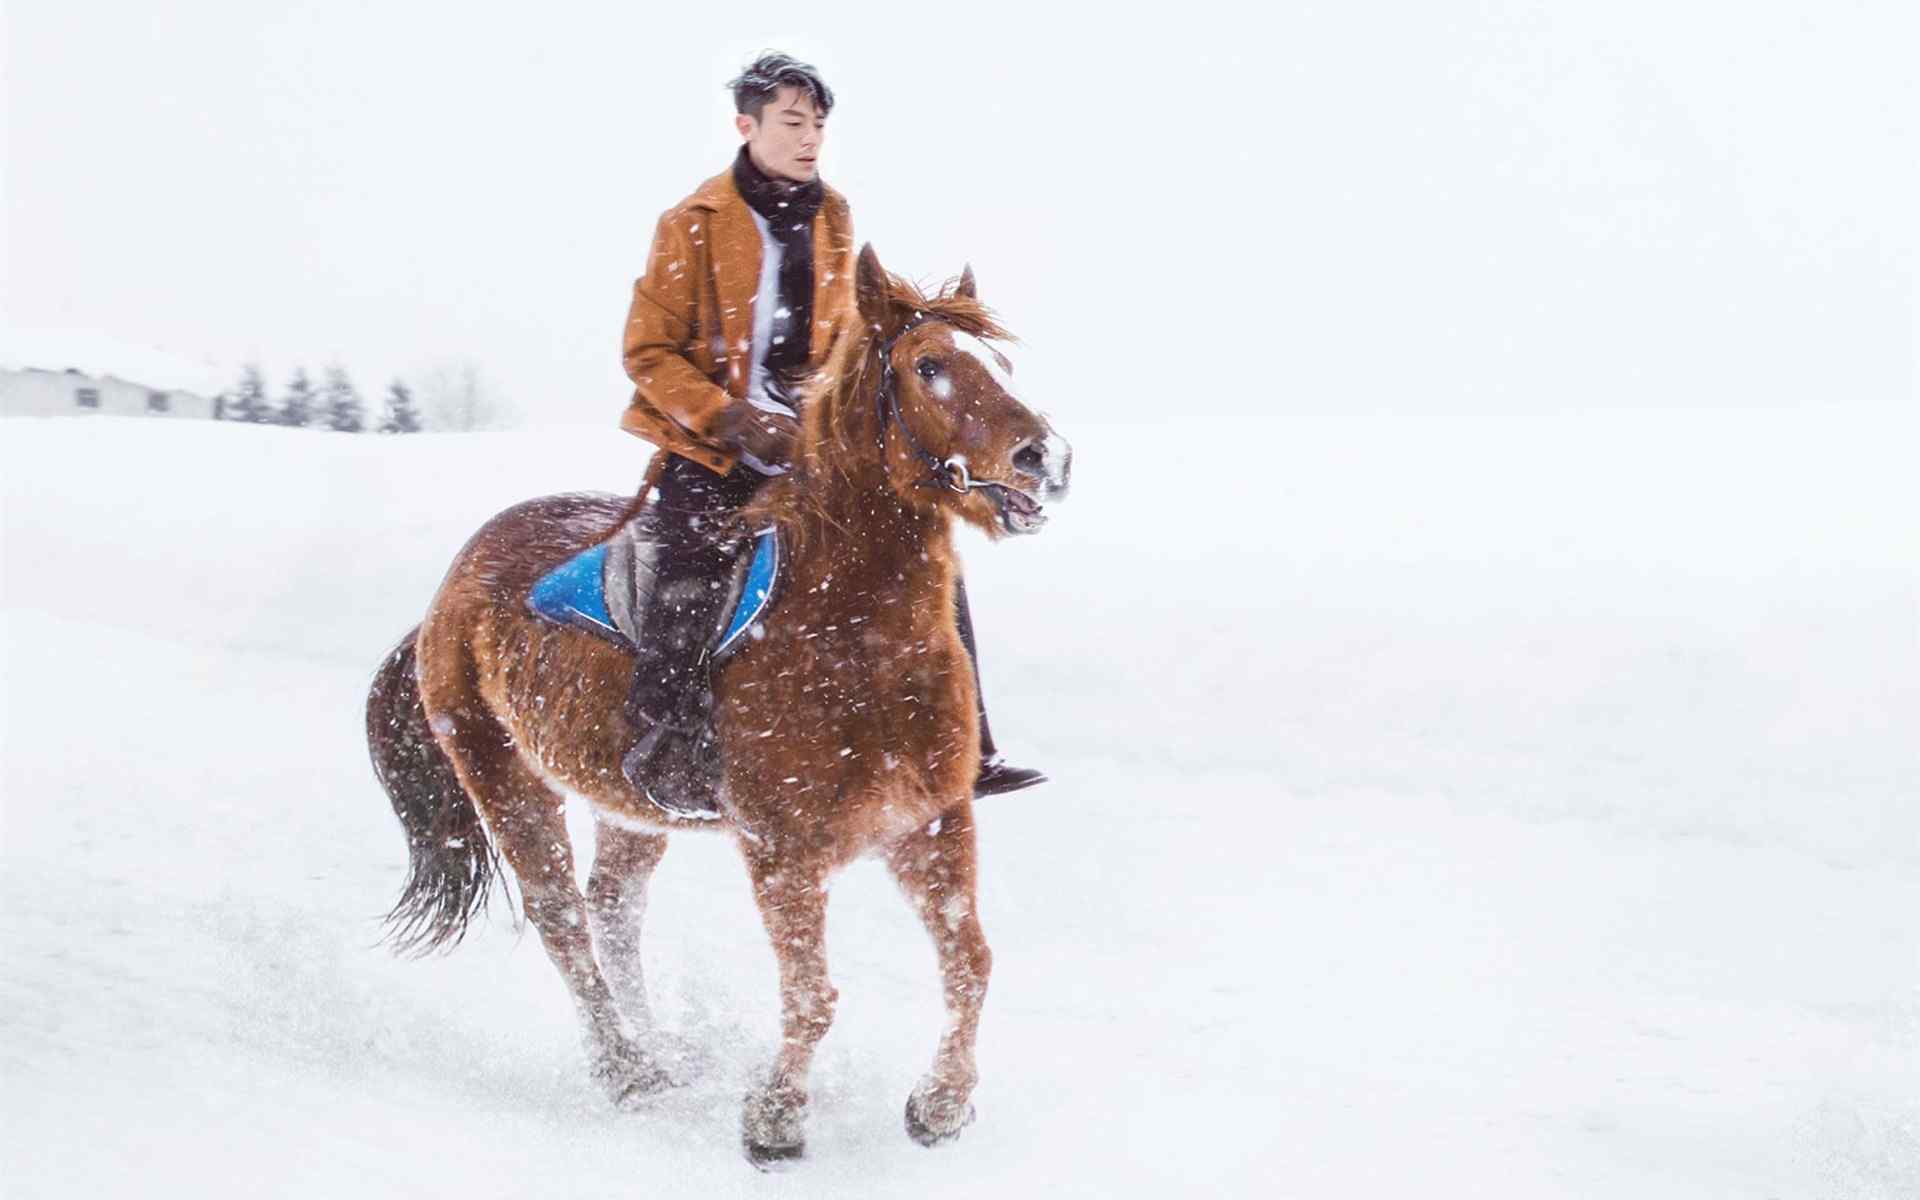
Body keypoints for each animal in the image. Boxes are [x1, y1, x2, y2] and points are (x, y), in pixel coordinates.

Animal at [366, 245, 1075, 1159]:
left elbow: (971, 964)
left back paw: (662, 1052)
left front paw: (941, 1105)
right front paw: (774, 1119)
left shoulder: (930, 823)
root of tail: (449, 588)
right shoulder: (782, 848)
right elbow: (812, 994)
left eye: (1002, 365)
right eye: (928, 367)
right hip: (502, 773)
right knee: (562, 919)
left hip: (627, 807)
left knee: (613, 910)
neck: (853, 634)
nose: (1045, 459)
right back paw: (627, 1070)